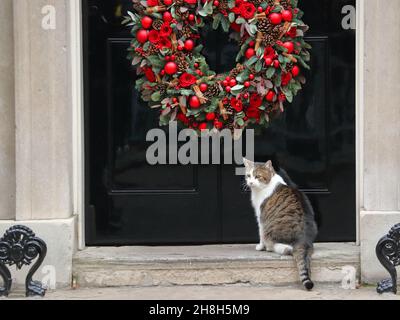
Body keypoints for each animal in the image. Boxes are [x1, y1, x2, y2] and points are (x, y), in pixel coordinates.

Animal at [242, 159, 318, 292]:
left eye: (257, 176)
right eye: (248, 175)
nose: (250, 182)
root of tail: (304, 239)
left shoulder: (261, 217)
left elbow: (260, 233)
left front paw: (260, 246)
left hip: (271, 231)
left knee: (280, 246)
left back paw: (272, 247)